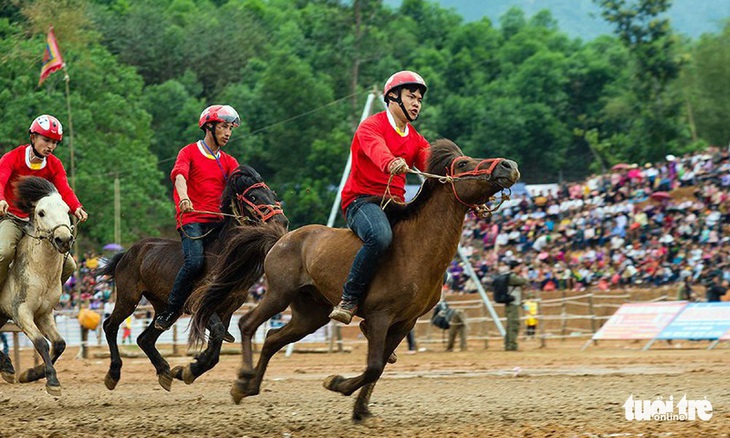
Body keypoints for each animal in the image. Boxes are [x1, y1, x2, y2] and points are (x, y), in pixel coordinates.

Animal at [0, 176, 75, 396]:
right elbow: (41, 342)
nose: (64, 239)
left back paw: (7, 367)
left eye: (67, 210)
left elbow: (59, 344)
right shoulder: (21, 311)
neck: (40, 273)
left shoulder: (44, 314)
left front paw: (32, 374)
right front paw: (52, 380)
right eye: (41, 212)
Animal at [96, 164, 288, 390]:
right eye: (254, 196)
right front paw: (190, 369)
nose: (282, 221)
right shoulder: (200, 304)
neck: (224, 256)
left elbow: (217, 343)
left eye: (273, 195)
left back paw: (164, 371)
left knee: (145, 338)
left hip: (167, 307)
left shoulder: (227, 308)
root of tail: (128, 252)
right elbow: (217, 333)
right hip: (128, 298)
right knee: (110, 327)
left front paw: (188, 370)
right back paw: (114, 373)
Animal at [188, 140, 516, 420]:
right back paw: (243, 378)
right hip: (278, 294)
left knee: (271, 338)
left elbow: (379, 366)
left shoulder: (405, 321)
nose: (508, 165)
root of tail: (281, 238)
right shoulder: (380, 316)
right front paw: (337, 384)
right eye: (463, 163)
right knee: (247, 325)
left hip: (311, 314)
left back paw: (248, 387)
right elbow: (373, 366)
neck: (415, 249)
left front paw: (361, 410)